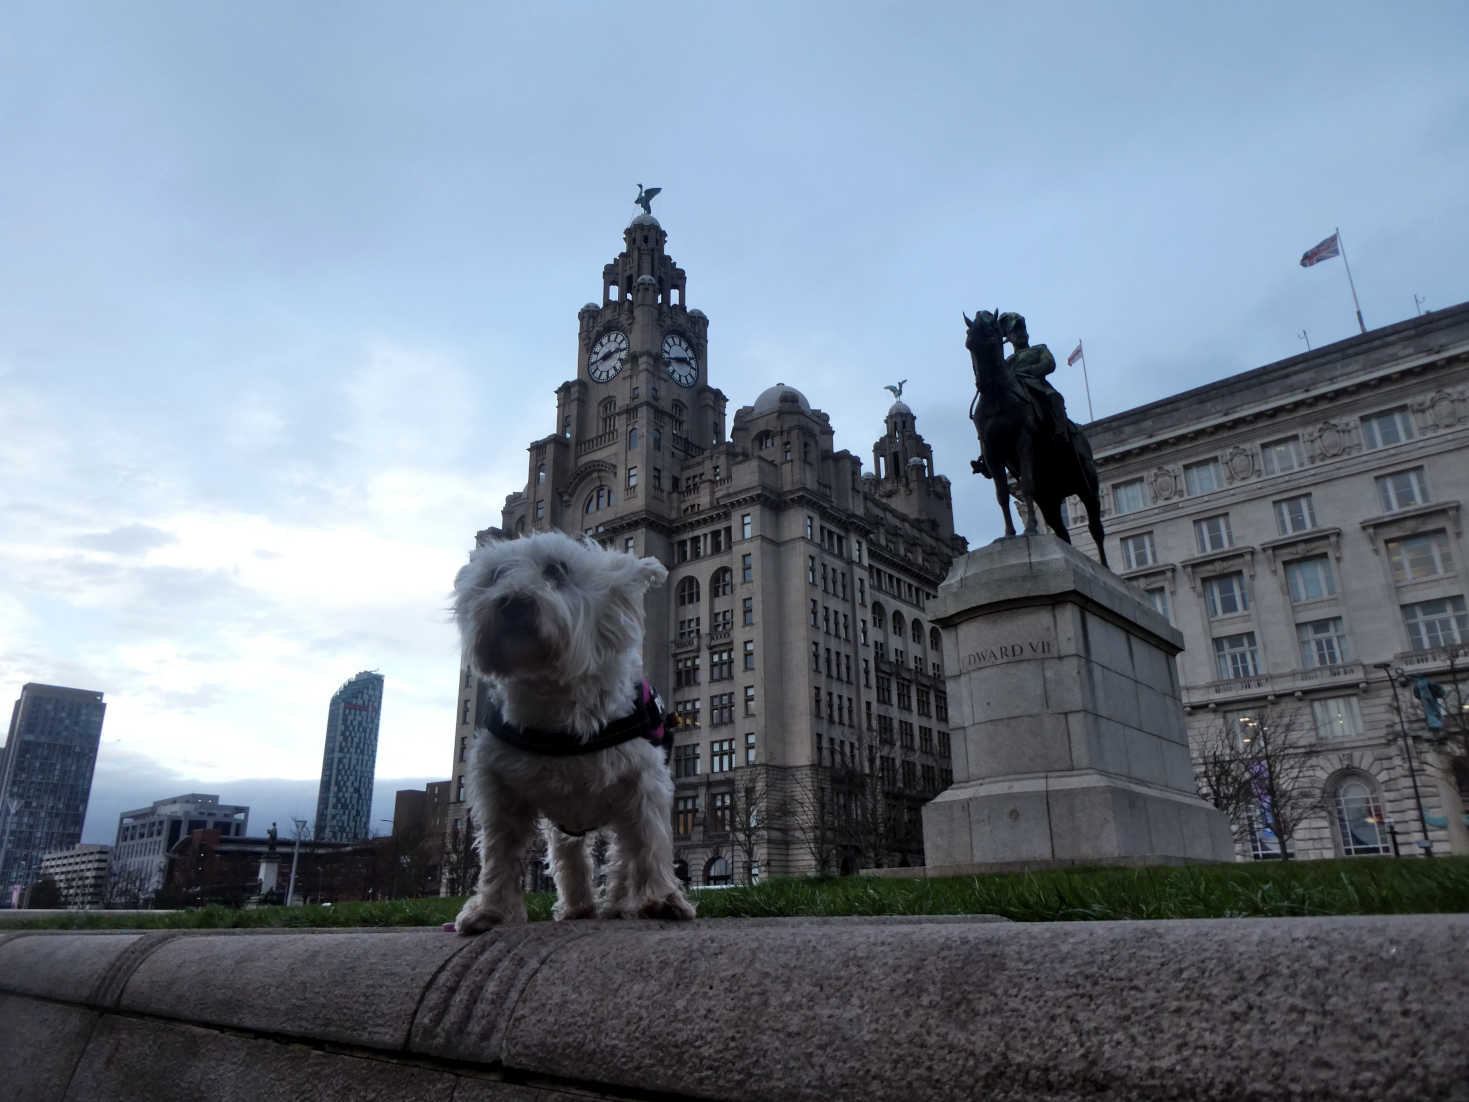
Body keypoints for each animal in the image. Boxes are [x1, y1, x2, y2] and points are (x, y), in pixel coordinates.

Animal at [449, 528, 696, 934]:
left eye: (557, 570)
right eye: (495, 575)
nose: (511, 602)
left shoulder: (643, 783)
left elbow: (649, 839)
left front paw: (662, 899)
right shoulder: (501, 789)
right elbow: (499, 852)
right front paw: (491, 911)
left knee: (621, 855)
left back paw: (618, 904)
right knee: (570, 856)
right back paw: (579, 907)